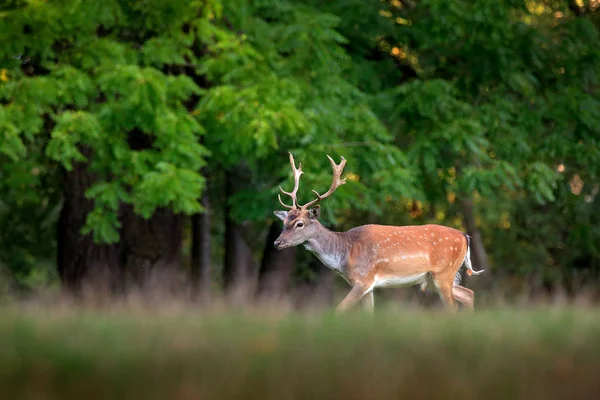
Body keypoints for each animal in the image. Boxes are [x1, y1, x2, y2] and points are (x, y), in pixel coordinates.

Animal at [274, 152, 486, 312]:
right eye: (284, 221)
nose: (277, 242)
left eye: (299, 224)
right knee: (469, 294)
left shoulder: (363, 280)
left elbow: (339, 310)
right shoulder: (368, 287)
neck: (345, 252)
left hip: (444, 273)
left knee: (454, 307)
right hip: (435, 278)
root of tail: (465, 237)